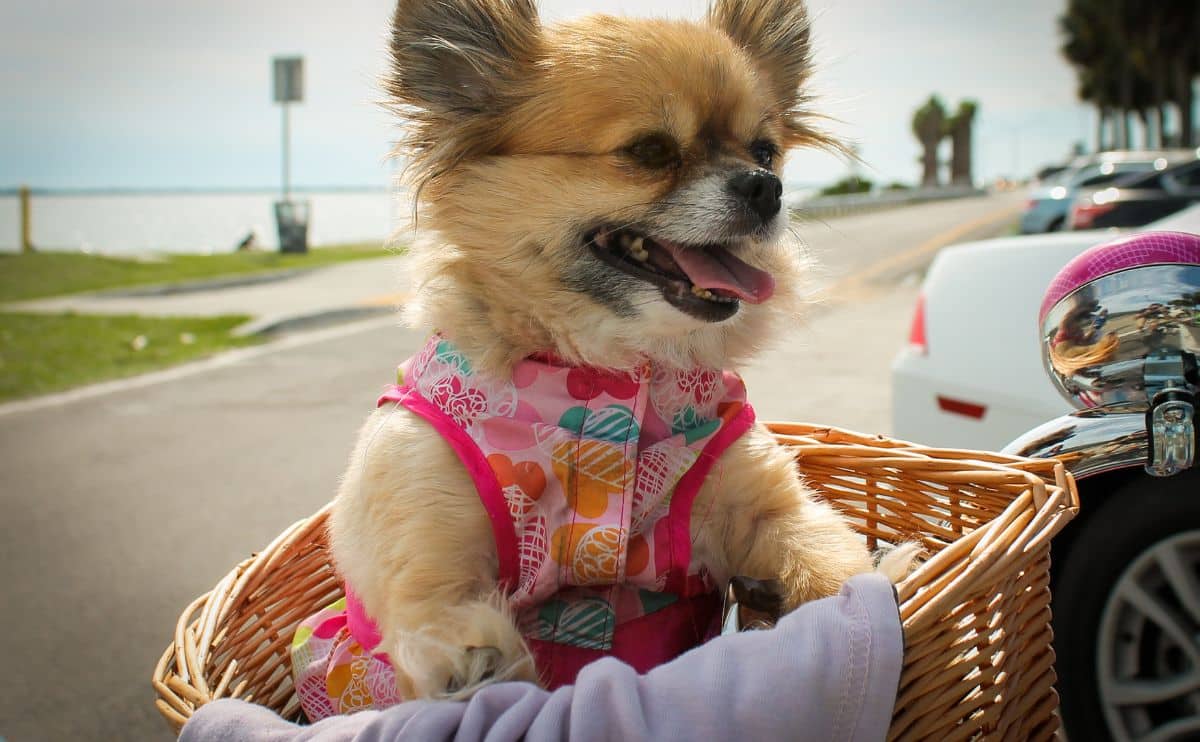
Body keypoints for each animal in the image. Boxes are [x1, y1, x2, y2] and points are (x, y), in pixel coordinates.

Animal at [307, 0, 907, 705]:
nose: (766, 186)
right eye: (651, 151)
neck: (604, 367)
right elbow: (431, 605)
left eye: (767, 150)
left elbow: (826, 555)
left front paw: (865, 586)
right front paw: (472, 661)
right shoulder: (427, 526)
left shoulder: (766, 508)